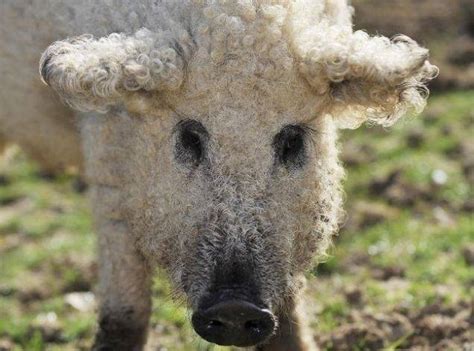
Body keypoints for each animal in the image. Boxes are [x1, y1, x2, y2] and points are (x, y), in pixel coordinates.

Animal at [0, 1, 436, 350]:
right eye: (190, 136)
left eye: (292, 140)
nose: (235, 308)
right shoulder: (106, 155)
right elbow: (125, 313)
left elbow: (287, 321)